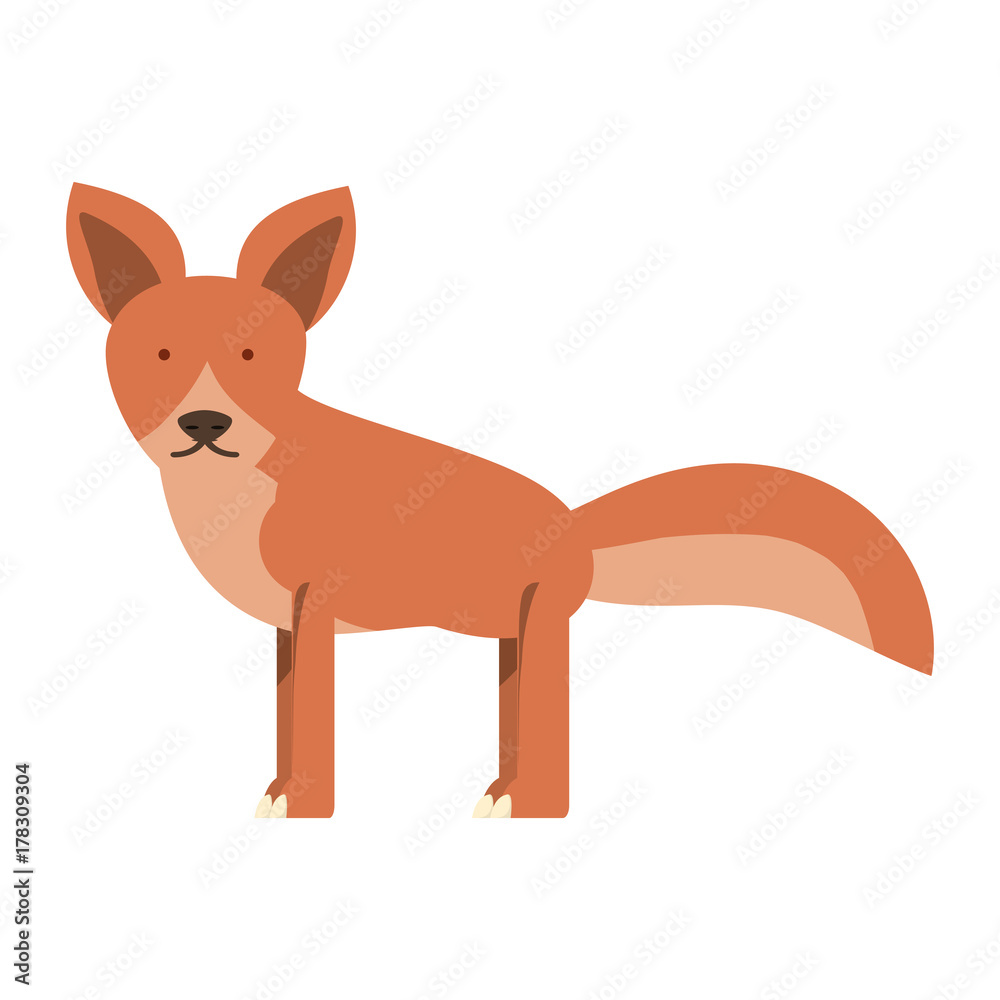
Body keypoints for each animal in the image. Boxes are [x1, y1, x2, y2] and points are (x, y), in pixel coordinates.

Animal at [66, 182, 934, 820]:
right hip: (509, 642)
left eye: (251, 355)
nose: (205, 421)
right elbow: (288, 723)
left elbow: (312, 727)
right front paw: (277, 797)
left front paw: (307, 812)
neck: (238, 497)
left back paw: (527, 808)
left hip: (540, 626)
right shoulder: (288, 622)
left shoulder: (321, 603)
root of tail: (572, 526)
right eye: (161, 354)